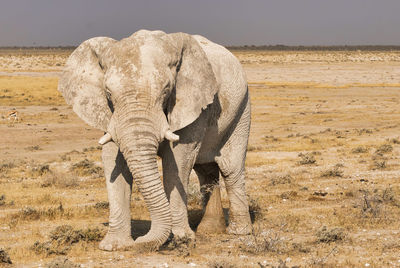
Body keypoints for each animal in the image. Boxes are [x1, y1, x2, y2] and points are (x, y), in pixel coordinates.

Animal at [57, 29, 252, 251]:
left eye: (167, 90)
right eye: (108, 93)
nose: (139, 240)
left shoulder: (191, 103)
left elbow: (177, 161)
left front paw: (180, 239)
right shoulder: (111, 114)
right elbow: (112, 159)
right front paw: (112, 245)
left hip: (242, 108)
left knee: (230, 168)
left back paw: (239, 232)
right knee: (205, 171)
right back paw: (209, 230)